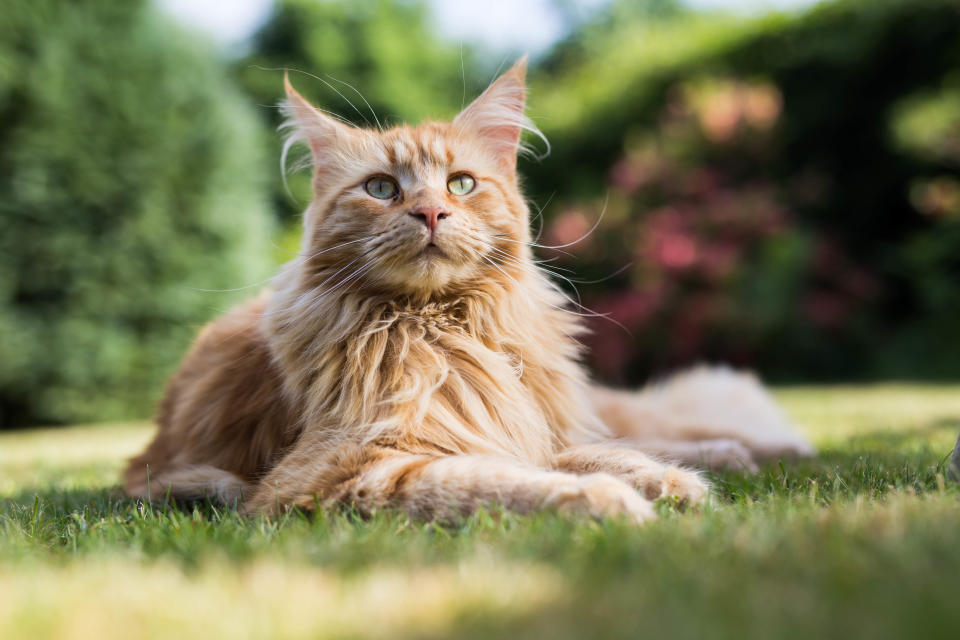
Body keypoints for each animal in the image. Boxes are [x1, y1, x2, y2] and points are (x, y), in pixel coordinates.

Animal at [124, 57, 812, 524]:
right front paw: (611, 499)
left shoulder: (515, 421)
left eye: (459, 184)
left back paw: (759, 450)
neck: (443, 330)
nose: (431, 212)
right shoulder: (338, 474)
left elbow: (584, 457)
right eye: (381, 189)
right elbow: (497, 481)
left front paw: (668, 482)